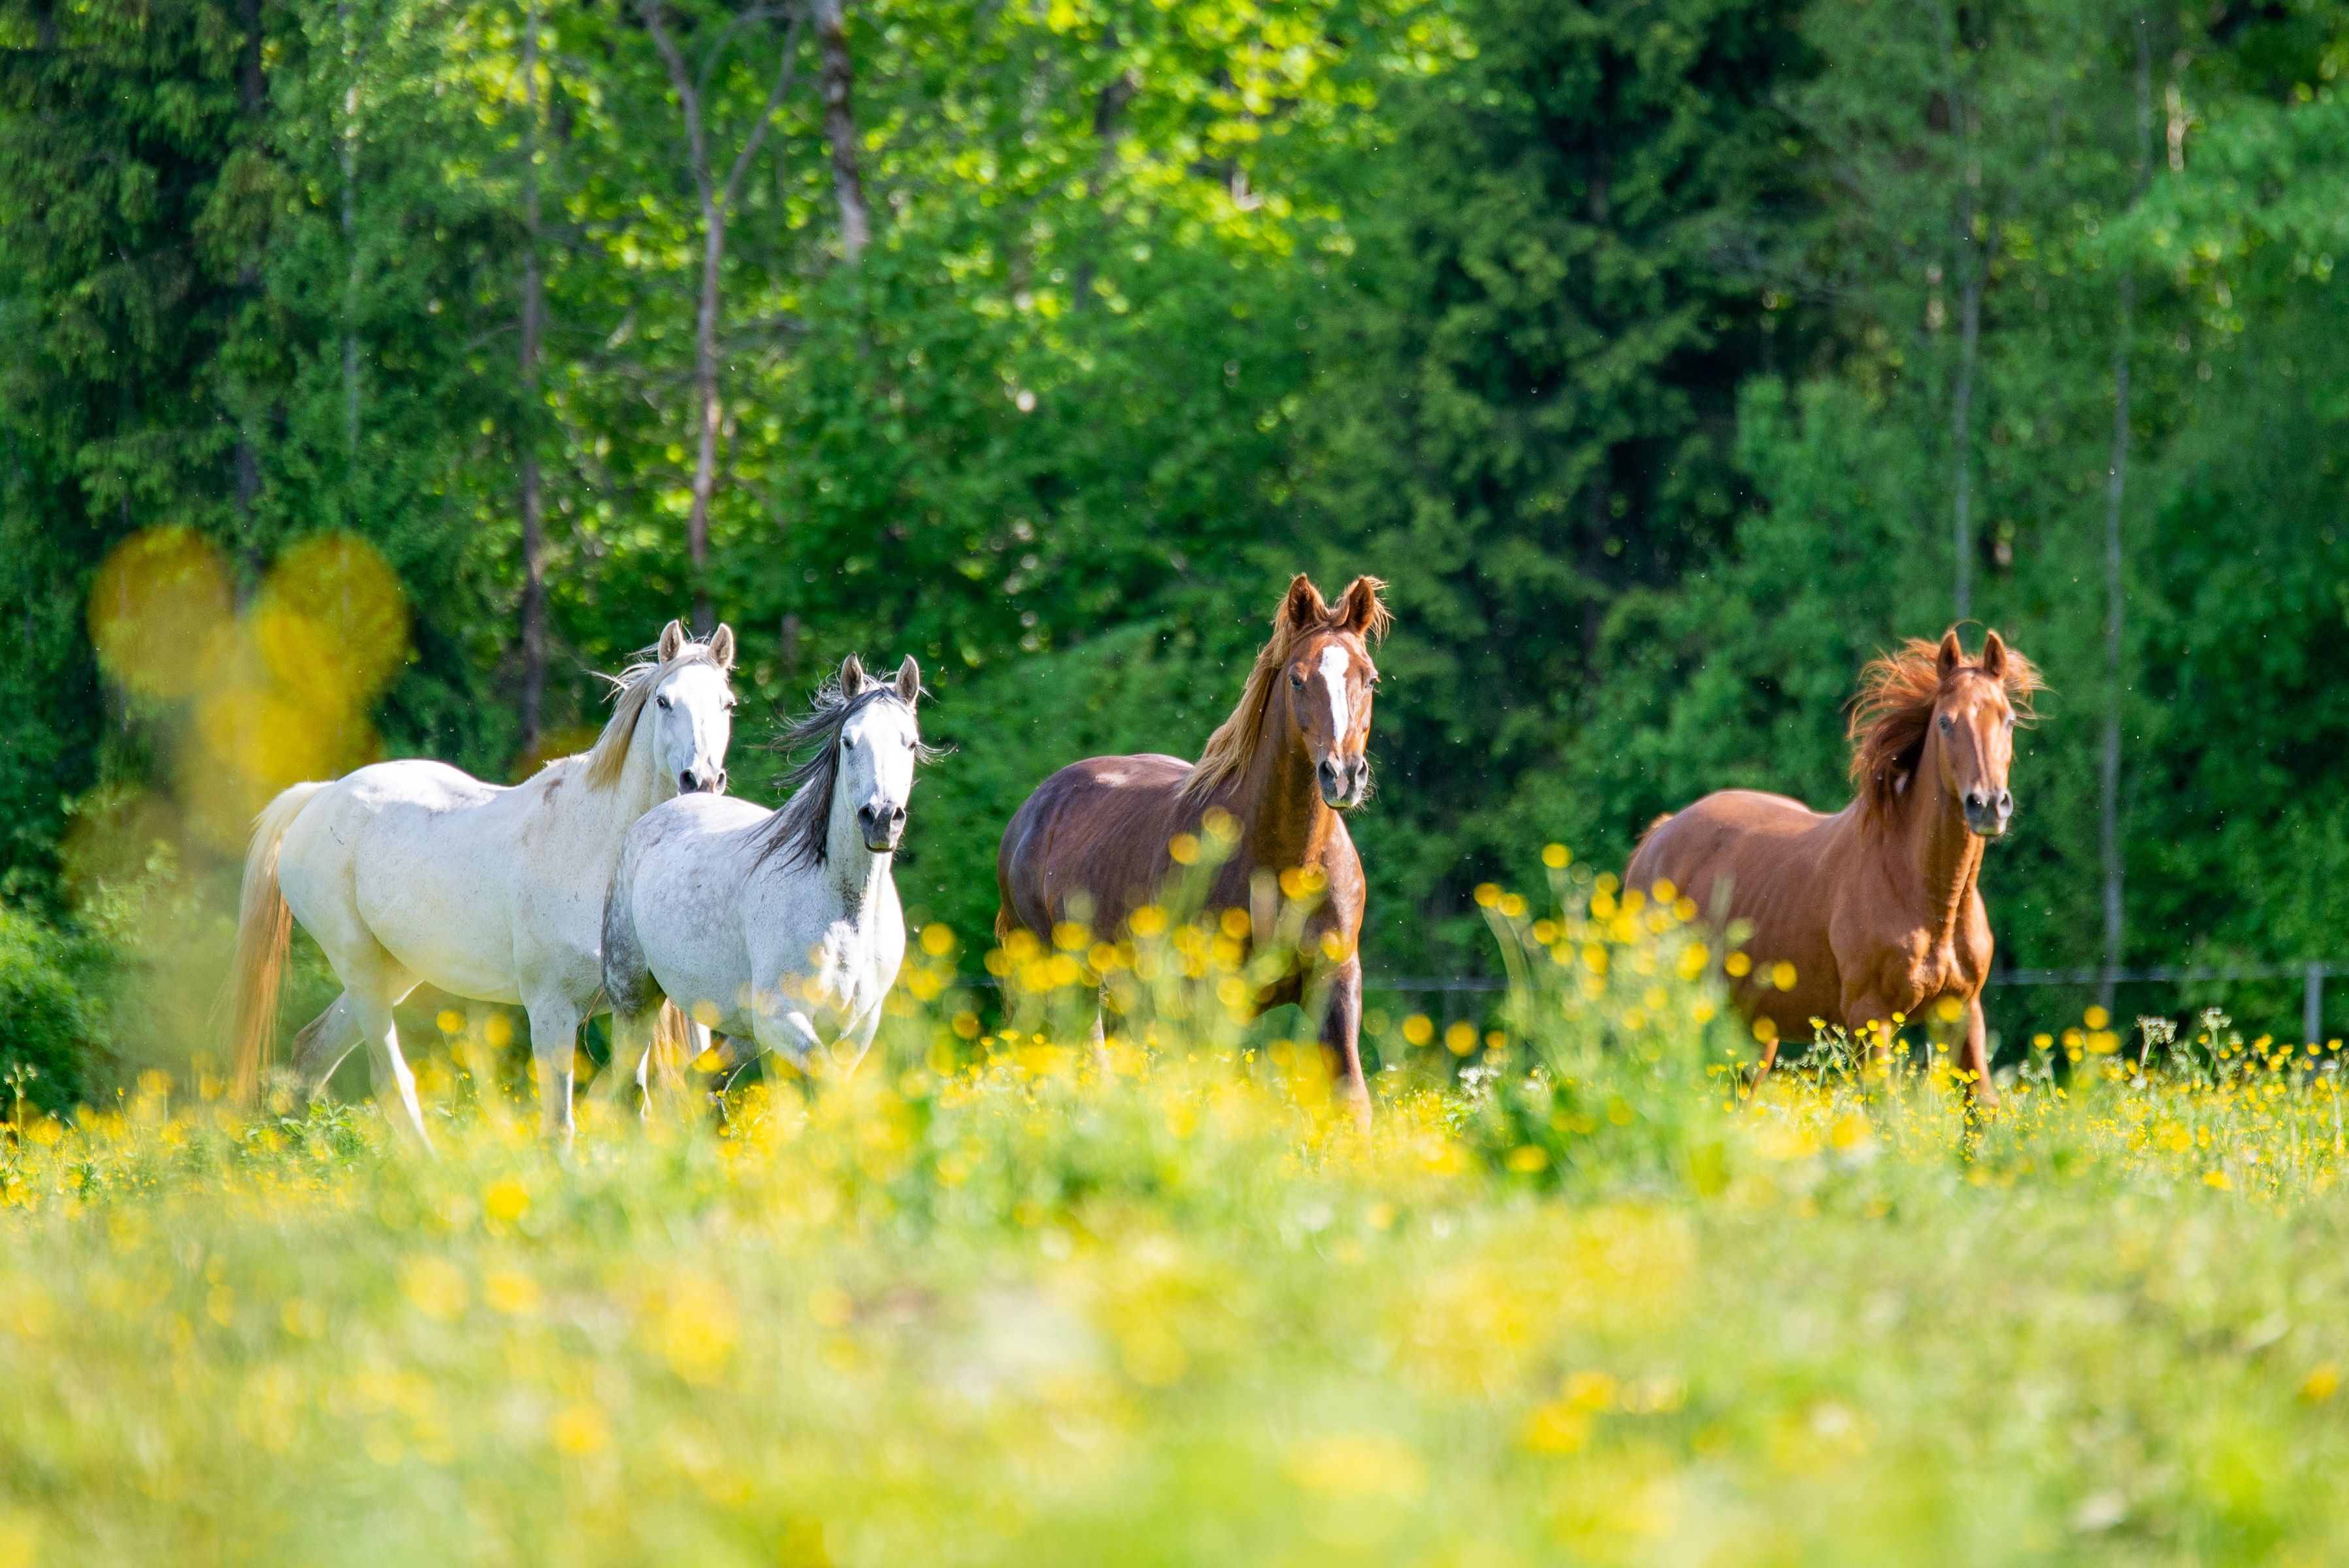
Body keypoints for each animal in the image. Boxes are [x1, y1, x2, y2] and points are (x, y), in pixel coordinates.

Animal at [225, 619, 732, 1145]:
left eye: (727, 704)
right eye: (664, 701)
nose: (701, 781)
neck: (598, 848)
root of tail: (320, 796)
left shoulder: (651, 1008)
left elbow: (641, 1100)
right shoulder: (551, 1008)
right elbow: (561, 1124)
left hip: (397, 969)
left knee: (313, 1051)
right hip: (358, 963)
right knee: (390, 1080)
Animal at [601, 647, 930, 1089]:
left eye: (910, 743)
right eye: (848, 741)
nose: (880, 818)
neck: (844, 913)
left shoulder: (856, 1032)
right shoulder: (782, 1021)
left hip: (740, 1032)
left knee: (697, 1079)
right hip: (634, 1002)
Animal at [996, 575, 1390, 1126]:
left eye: (1369, 679)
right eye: (1296, 679)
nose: (1343, 775)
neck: (1282, 861)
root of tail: (1035, 807)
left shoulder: (1333, 983)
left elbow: (1351, 1101)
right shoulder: (1204, 999)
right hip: (1056, 977)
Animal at [1625, 629, 2048, 1103]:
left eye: (2008, 720)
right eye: (1945, 722)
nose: (1988, 804)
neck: (1925, 894)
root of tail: (1657, 837)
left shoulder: (1961, 1012)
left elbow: (1982, 1106)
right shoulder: (1870, 1016)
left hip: (1752, 1034)